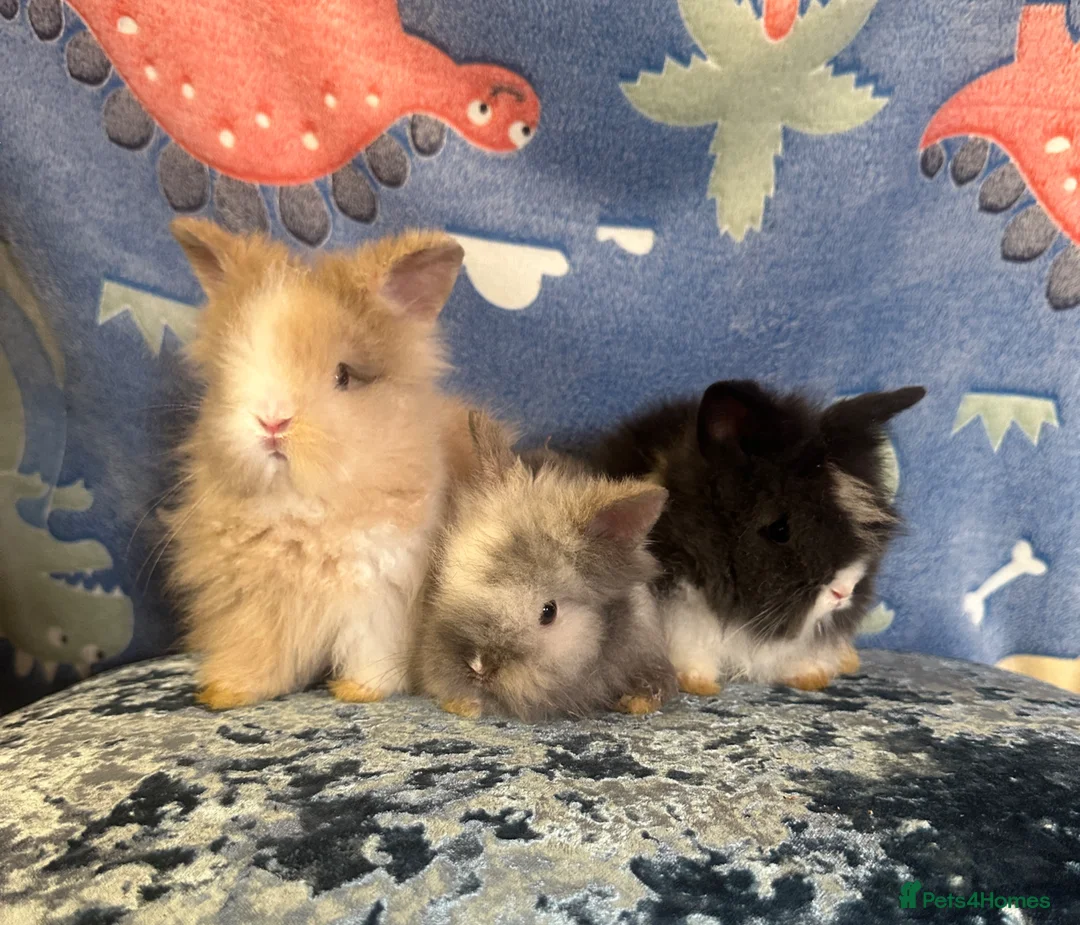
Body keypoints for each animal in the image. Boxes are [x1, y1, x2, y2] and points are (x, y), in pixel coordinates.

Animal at [163, 218, 478, 710]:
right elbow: (253, 647)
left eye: (344, 375)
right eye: (232, 366)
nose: (272, 420)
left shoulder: (381, 599)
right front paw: (225, 692)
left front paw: (359, 691)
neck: (302, 509)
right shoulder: (252, 603)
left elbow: (371, 652)